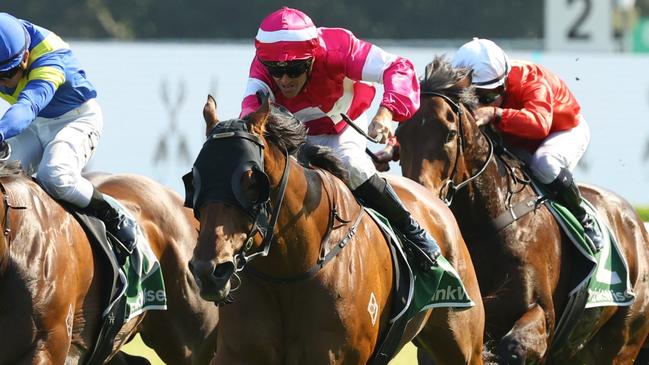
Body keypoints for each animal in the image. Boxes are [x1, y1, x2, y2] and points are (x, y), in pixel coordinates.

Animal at [185, 96, 484, 364]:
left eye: (250, 181)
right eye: (195, 179)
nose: (208, 271)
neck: (288, 273)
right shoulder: (237, 353)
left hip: (464, 346)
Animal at [392, 55, 648, 362]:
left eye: (449, 134)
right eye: (399, 134)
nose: (421, 196)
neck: (485, 221)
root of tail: (637, 225)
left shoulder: (540, 315)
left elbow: (513, 346)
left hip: (622, 342)